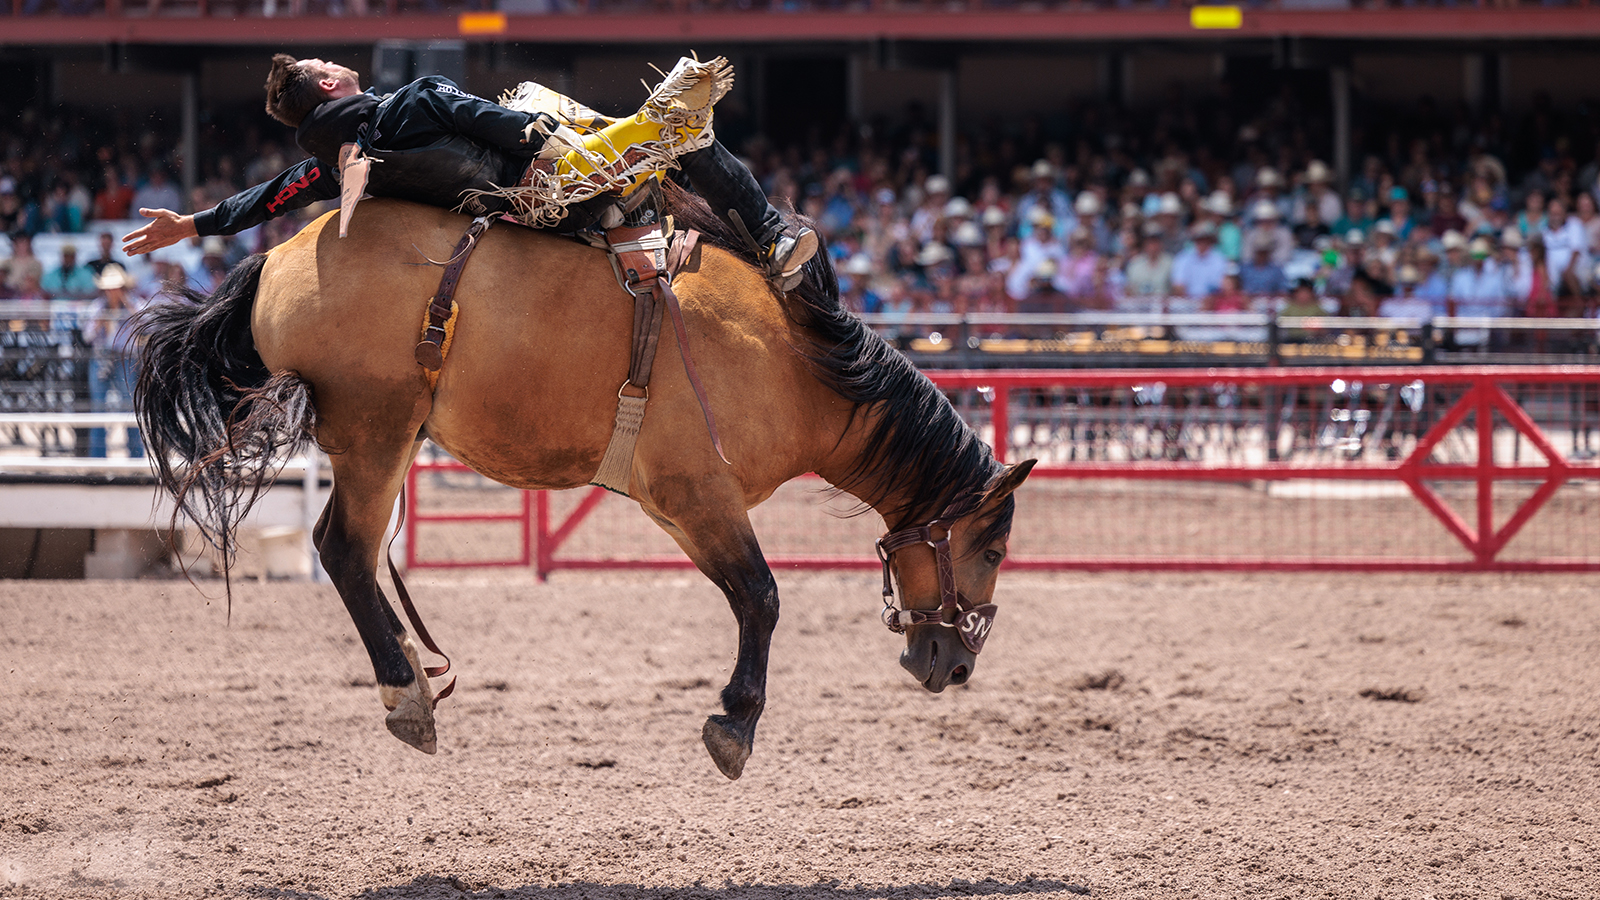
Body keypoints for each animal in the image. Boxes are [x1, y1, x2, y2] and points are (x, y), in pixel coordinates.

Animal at [134, 188, 1036, 778]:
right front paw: (734, 724)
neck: (792, 359)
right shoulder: (698, 495)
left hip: (382, 438)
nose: (953, 667)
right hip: (375, 430)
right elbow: (763, 597)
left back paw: (414, 679)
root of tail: (280, 254)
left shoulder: (678, 509)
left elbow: (751, 594)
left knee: (345, 552)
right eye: (994, 549)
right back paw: (407, 696)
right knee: (345, 551)